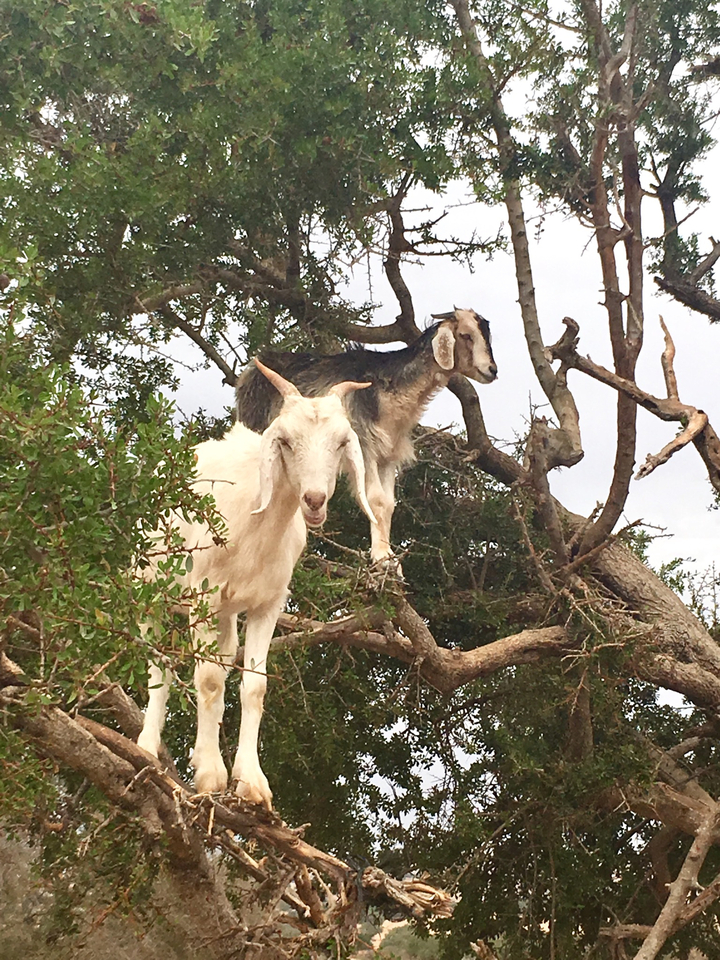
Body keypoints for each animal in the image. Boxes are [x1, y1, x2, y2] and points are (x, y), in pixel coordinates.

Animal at [137, 360, 375, 808]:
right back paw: (145, 749)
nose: (314, 500)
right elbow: (208, 680)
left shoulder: (268, 604)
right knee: (159, 664)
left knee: (218, 659)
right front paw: (211, 777)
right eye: (285, 441)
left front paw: (250, 782)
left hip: (228, 615)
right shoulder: (204, 594)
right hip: (153, 595)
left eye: (340, 443)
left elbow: (254, 687)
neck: (254, 524)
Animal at [235, 308, 497, 564]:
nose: (492, 370)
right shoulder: (365, 446)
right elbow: (376, 499)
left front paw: (390, 559)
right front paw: (380, 556)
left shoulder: (388, 455)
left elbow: (389, 504)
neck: (388, 391)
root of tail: (251, 370)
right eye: (466, 335)